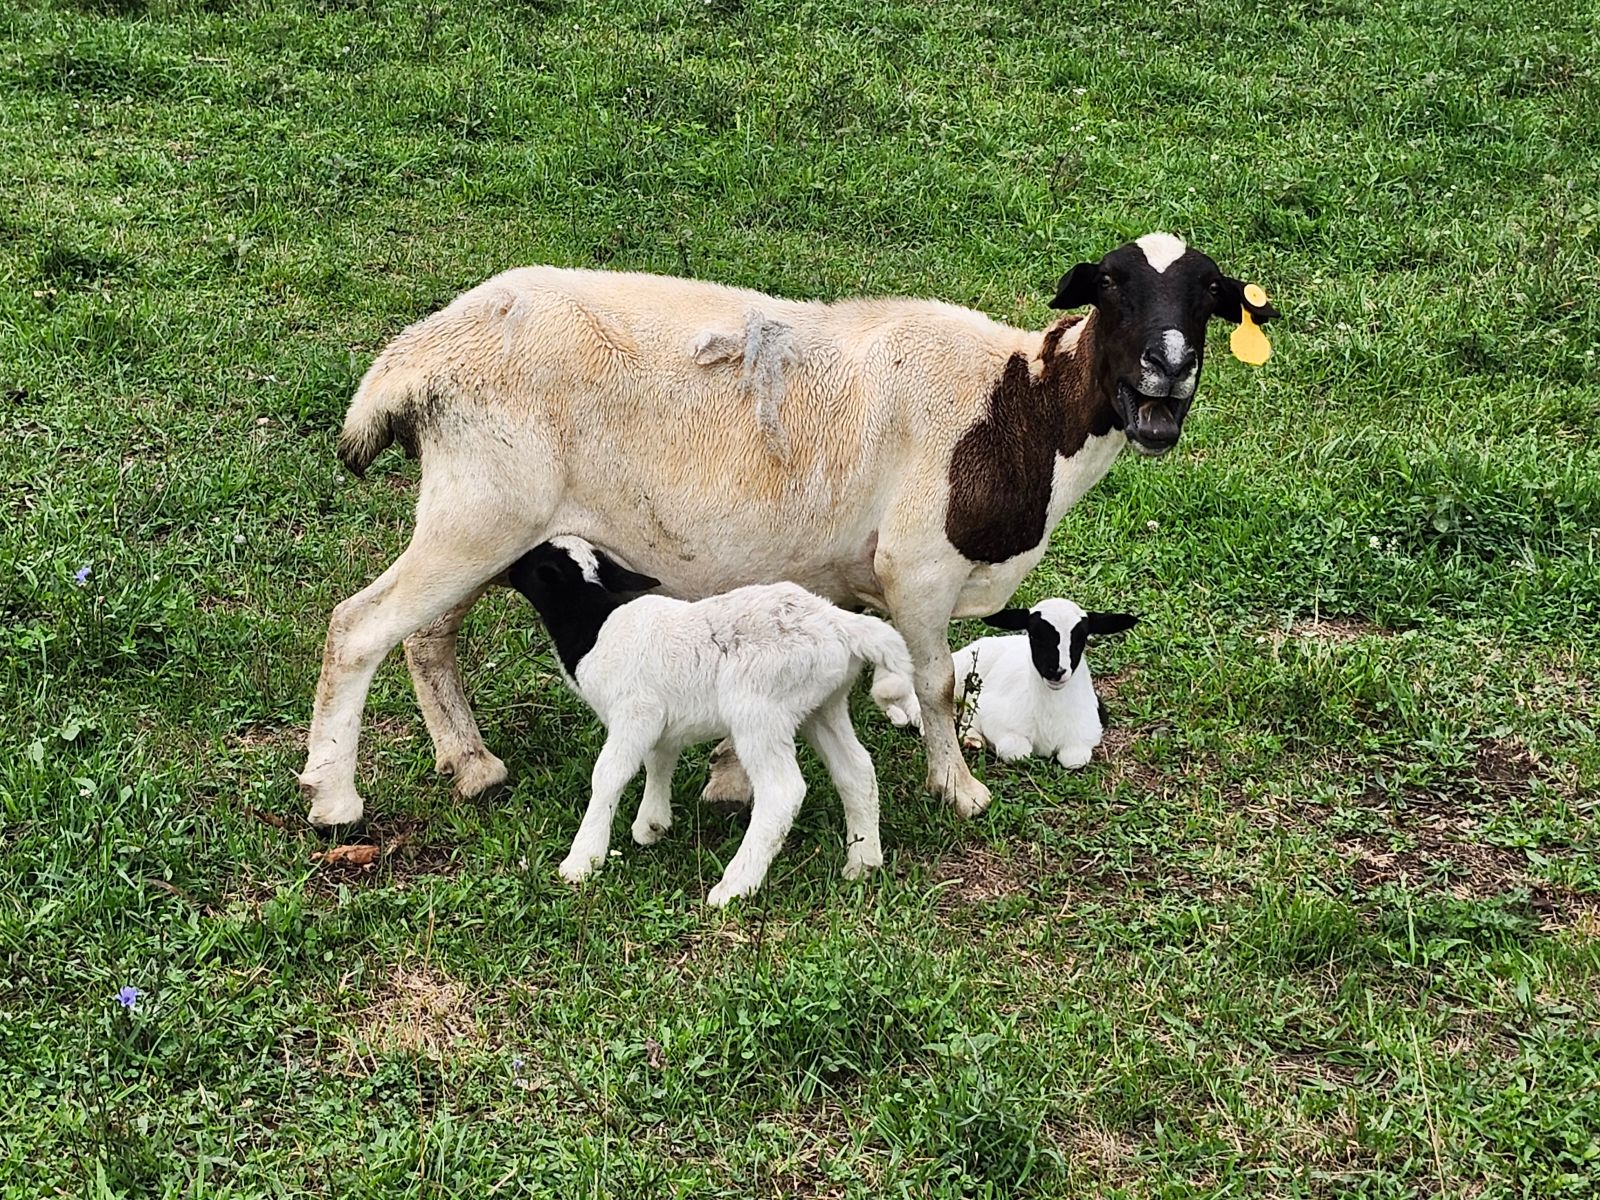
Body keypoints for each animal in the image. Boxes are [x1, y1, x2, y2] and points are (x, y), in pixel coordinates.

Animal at [503, 536, 916, 906]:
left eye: (536, 566)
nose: (508, 569)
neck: (593, 624)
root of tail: (838, 625)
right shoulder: (659, 720)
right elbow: (658, 760)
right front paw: (651, 824)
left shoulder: (635, 712)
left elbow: (608, 775)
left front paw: (582, 859)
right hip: (821, 705)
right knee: (856, 771)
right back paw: (862, 861)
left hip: (760, 712)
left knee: (782, 791)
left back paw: (735, 886)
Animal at [880, 600, 1138, 768]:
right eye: (1034, 634)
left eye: (1081, 638)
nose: (1056, 671)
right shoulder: (996, 719)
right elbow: (1018, 752)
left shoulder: (1088, 733)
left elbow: (1073, 759)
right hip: (960, 669)